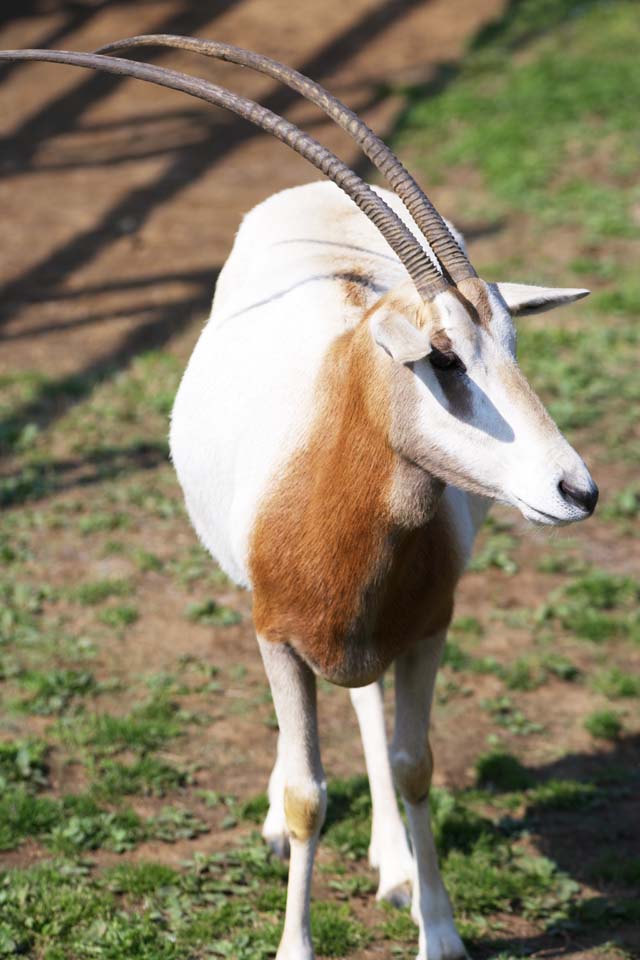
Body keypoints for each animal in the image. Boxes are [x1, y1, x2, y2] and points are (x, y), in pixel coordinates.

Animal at [1, 37, 600, 960]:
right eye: (443, 359)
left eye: (510, 343)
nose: (576, 490)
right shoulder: (278, 636)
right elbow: (309, 796)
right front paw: (295, 940)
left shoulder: (426, 629)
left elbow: (414, 766)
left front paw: (439, 930)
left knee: (364, 704)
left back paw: (392, 863)